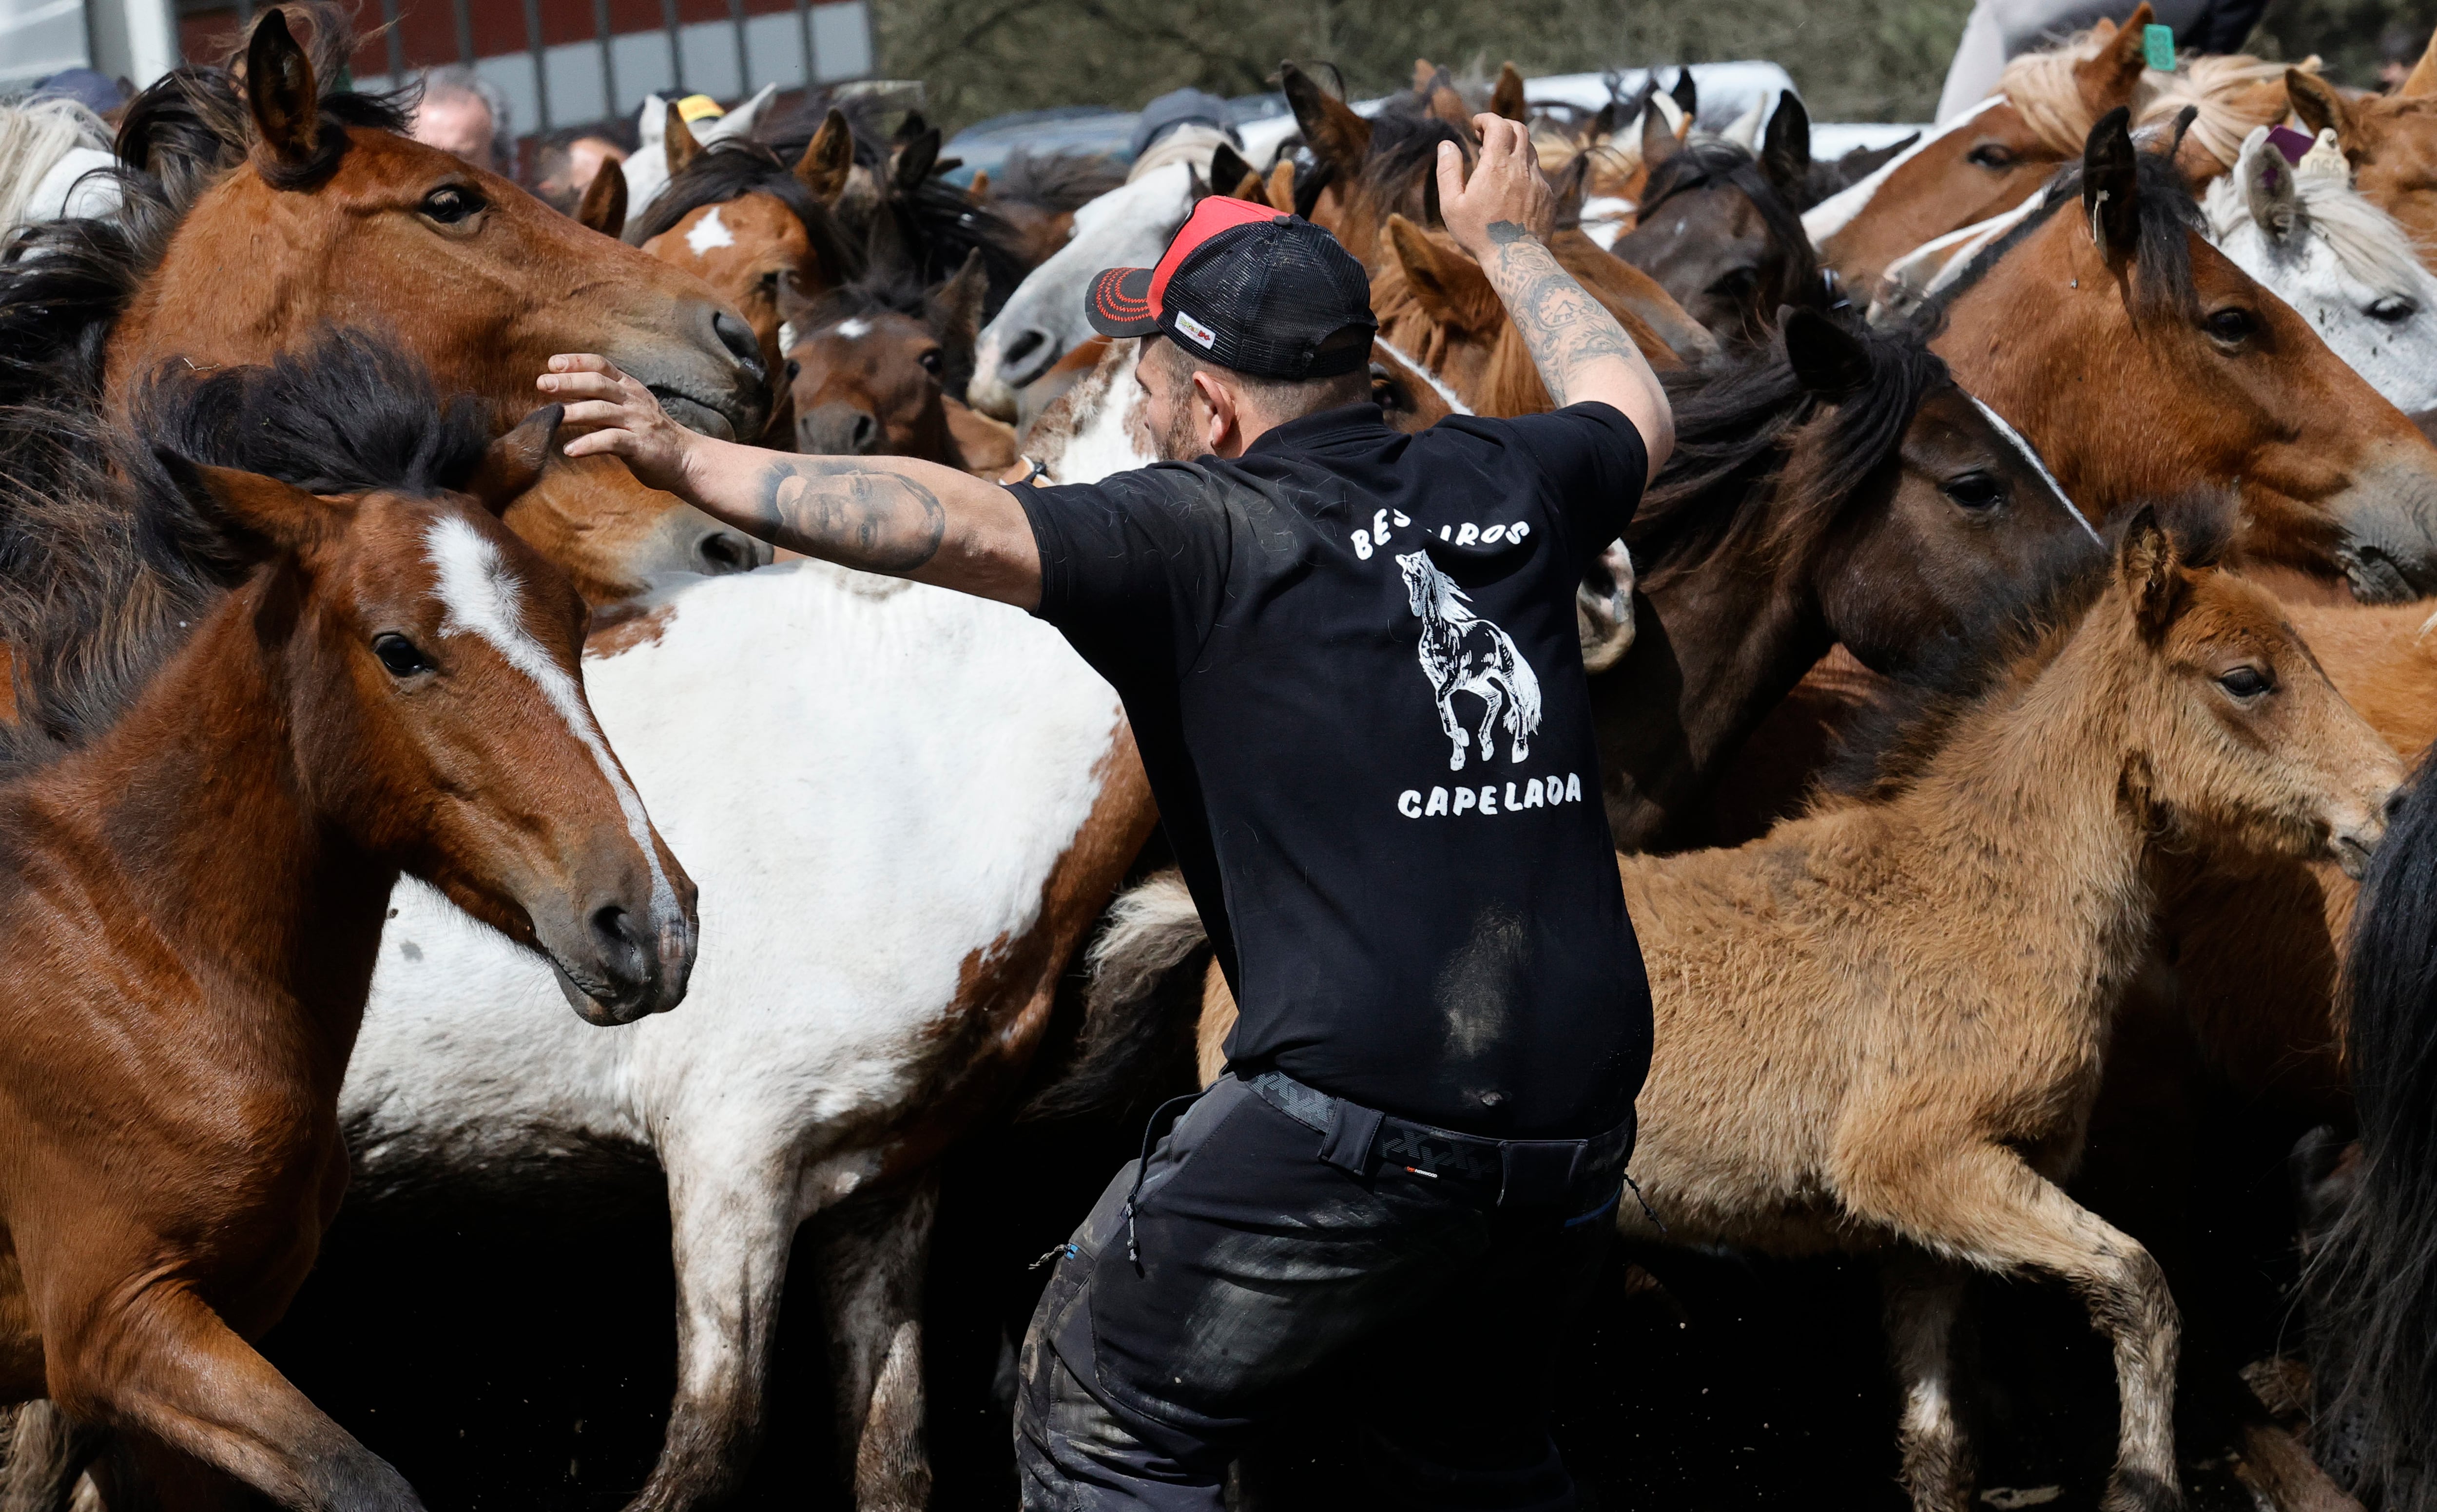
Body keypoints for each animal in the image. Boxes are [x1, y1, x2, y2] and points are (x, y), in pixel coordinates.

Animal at [0, 341, 697, 1510]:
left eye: (569, 621)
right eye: (398, 648)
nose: (648, 922)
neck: (133, 952)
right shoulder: (116, 1322)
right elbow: (367, 1482)